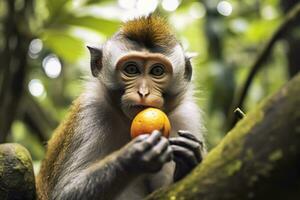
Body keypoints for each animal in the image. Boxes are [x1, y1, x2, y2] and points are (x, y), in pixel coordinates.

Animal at [36, 16, 206, 200]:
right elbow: (64, 193)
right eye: (131, 69)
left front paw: (189, 159)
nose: (143, 92)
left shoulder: (186, 117)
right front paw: (132, 157)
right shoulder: (90, 113)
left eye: (157, 71)